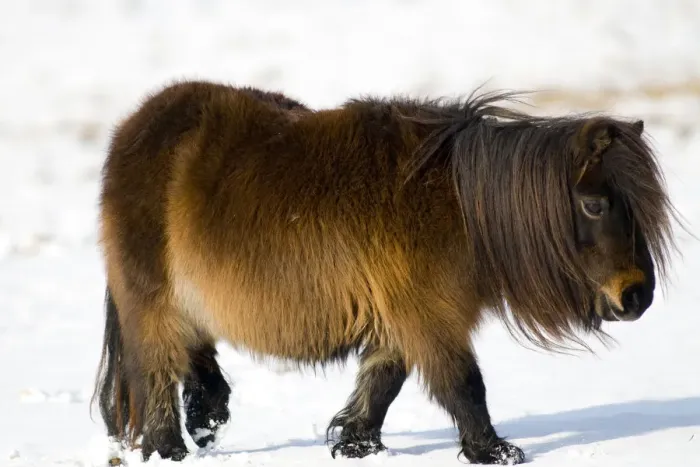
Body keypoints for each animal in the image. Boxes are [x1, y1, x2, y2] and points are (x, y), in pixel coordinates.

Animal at [91, 80, 676, 465]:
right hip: (151, 301)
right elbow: (464, 384)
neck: (458, 204)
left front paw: (357, 444)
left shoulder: (399, 315)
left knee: (196, 355)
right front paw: (495, 451)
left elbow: (383, 380)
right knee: (158, 370)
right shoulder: (428, 315)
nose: (637, 296)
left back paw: (209, 418)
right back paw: (170, 447)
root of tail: (134, 128)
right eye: (595, 205)